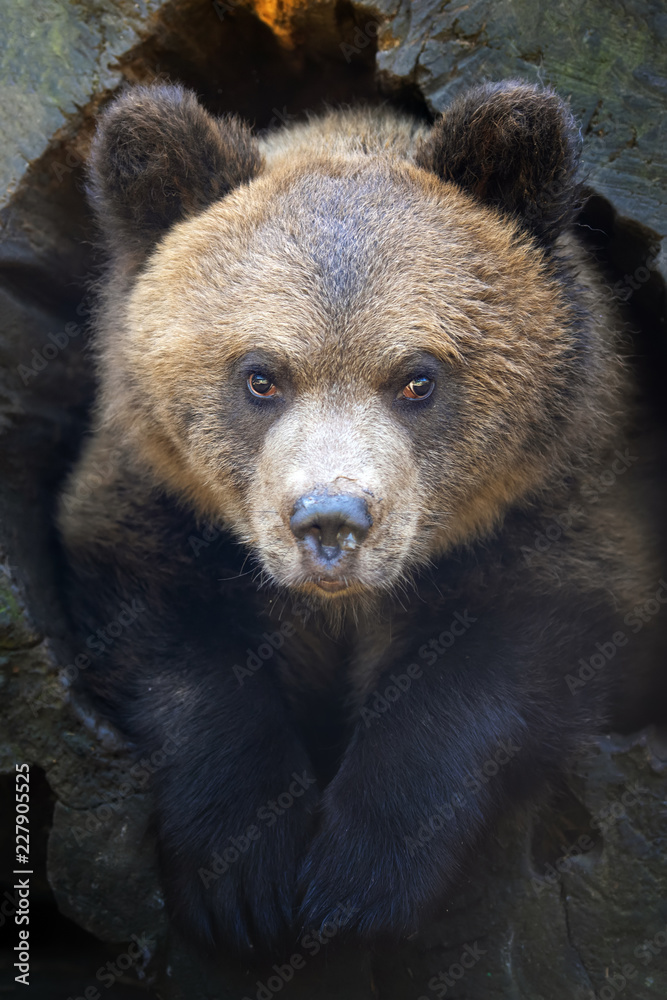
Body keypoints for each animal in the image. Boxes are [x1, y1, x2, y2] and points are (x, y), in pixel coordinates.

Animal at [60, 78, 664, 952]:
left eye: (417, 377)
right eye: (260, 375)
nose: (330, 522)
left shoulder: (560, 504)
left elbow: (514, 645)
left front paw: (355, 879)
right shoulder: (154, 499)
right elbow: (167, 632)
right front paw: (245, 873)